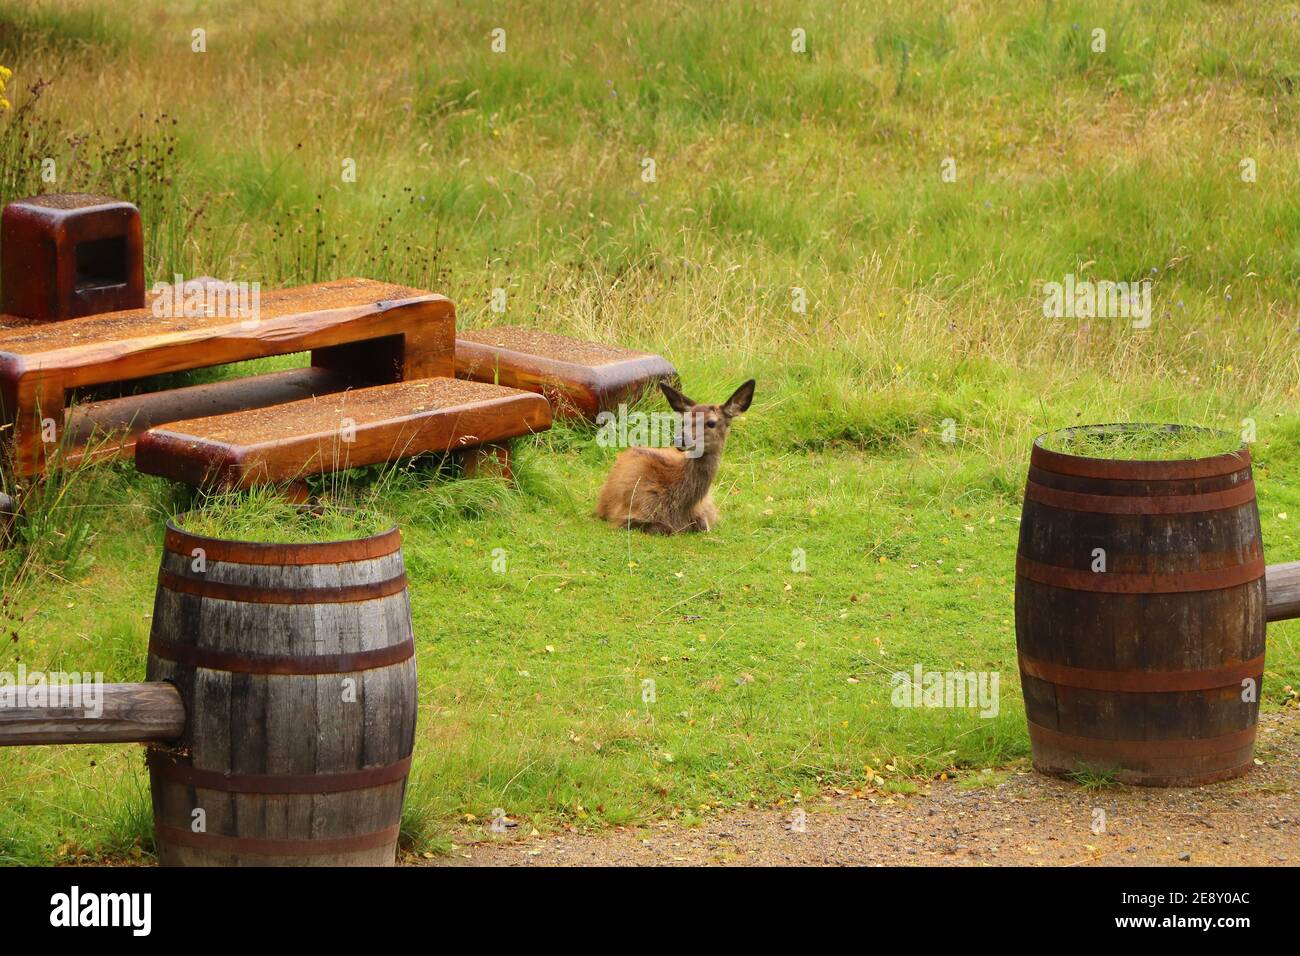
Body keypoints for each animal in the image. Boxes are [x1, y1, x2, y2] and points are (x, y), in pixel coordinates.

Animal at [595, 379, 755, 535]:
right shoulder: (627, 513)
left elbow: (704, 526)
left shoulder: (706, 512)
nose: (680, 439)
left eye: (711, 422)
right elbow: (664, 528)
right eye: (684, 421)